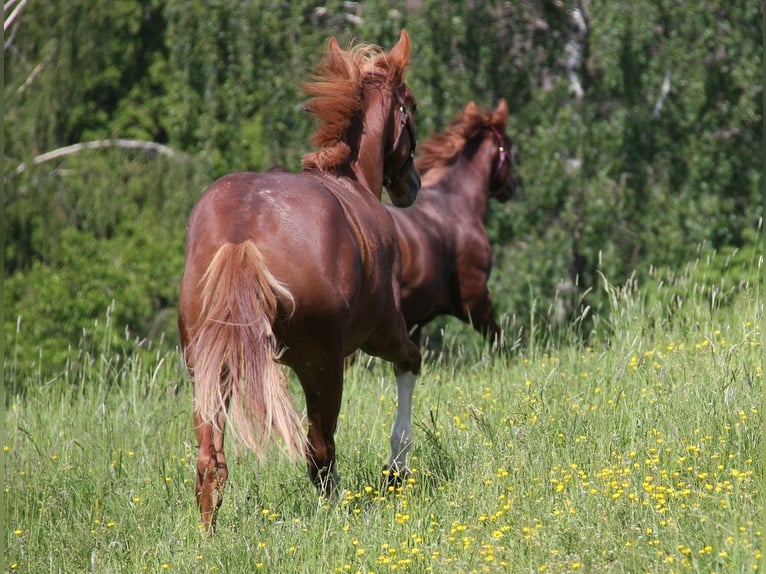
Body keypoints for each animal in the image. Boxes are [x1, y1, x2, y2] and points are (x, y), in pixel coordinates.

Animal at [178, 29, 424, 528]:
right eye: (409, 107)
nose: (413, 185)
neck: (350, 181)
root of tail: (241, 235)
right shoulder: (382, 332)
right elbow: (411, 360)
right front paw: (397, 466)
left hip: (208, 367)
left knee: (210, 460)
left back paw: (207, 535)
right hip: (323, 366)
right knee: (320, 451)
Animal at [384, 102, 520, 476]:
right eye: (509, 148)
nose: (514, 186)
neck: (456, 203)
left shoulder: (413, 325)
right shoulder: (475, 300)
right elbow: (500, 341)